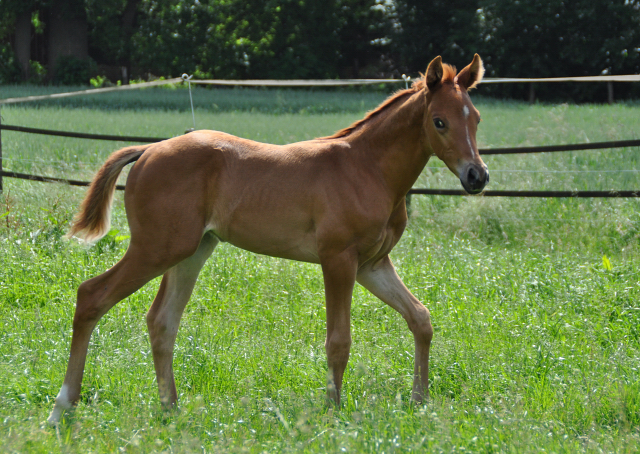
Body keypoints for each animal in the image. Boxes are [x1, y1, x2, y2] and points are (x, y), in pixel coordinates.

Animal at [48, 55, 490, 424]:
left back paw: (171, 409)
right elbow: (339, 341)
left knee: (162, 321)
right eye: (439, 121)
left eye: (476, 118)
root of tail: (148, 151)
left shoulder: (372, 265)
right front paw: (333, 412)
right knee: (92, 296)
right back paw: (62, 407)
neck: (368, 168)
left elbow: (420, 318)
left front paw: (420, 400)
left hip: (192, 251)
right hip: (156, 248)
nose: (477, 176)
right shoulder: (339, 259)